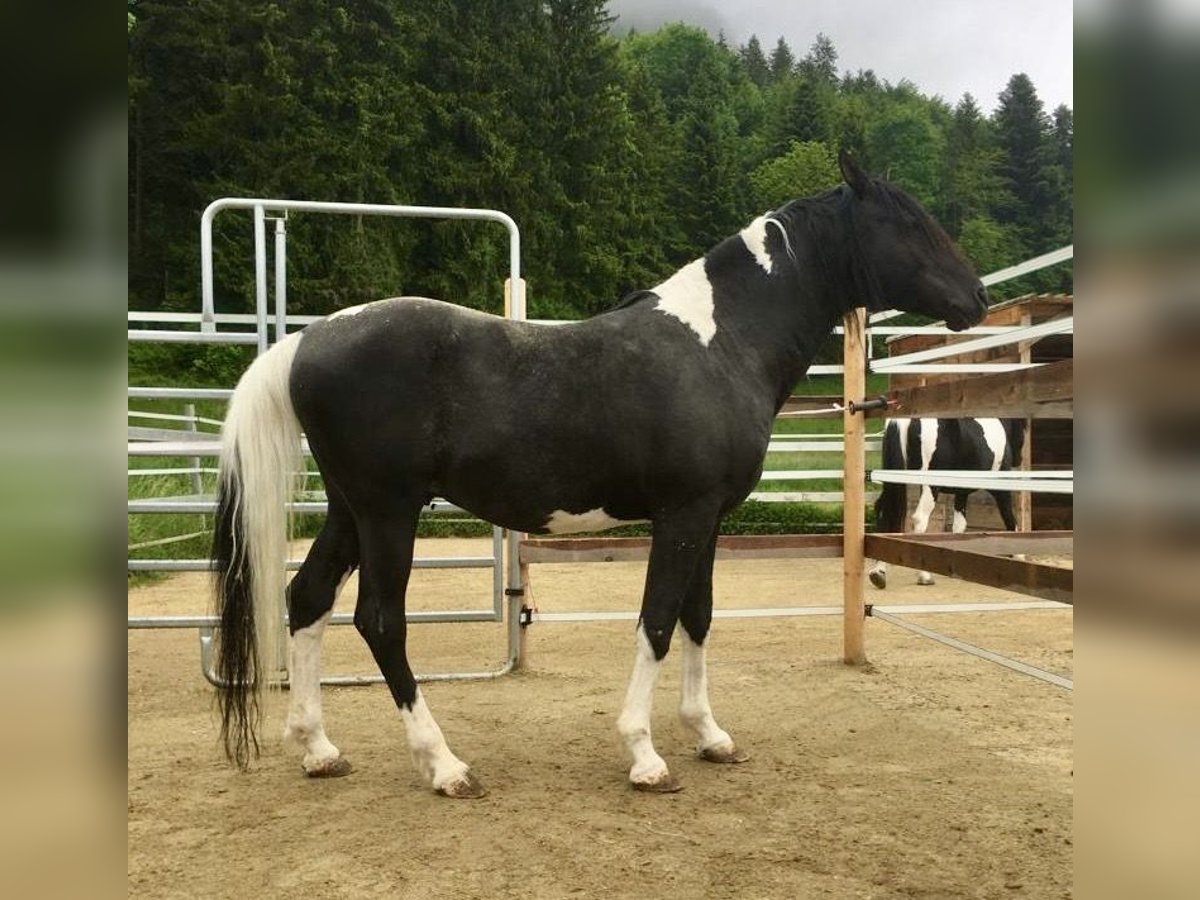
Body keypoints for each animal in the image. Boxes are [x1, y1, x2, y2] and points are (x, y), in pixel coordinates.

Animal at [211, 151, 988, 801]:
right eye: (909, 222)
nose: (977, 298)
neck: (722, 343)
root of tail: (305, 341)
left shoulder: (709, 518)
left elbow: (699, 616)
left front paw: (709, 735)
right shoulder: (681, 514)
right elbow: (657, 621)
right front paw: (645, 755)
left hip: (350, 510)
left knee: (307, 599)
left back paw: (319, 748)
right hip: (387, 513)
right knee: (379, 620)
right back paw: (444, 765)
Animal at [868, 417, 1027, 592]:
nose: (1019, 459)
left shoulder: (962, 492)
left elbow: (959, 527)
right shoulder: (1001, 489)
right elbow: (1010, 521)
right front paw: (1020, 556)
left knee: (884, 511)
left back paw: (878, 573)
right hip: (929, 487)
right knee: (920, 519)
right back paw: (924, 576)